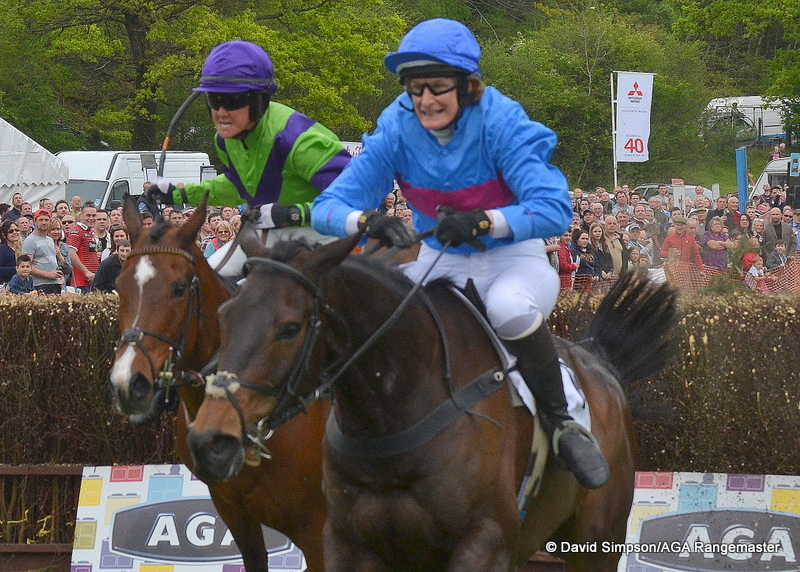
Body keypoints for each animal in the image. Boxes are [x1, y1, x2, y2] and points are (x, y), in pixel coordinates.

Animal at [187, 222, 677, 572]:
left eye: (289, 328)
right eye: (224, 314)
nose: (210, 441)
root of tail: (600, 359)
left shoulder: (485, 541)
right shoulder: (347, 542)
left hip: (597, 539)